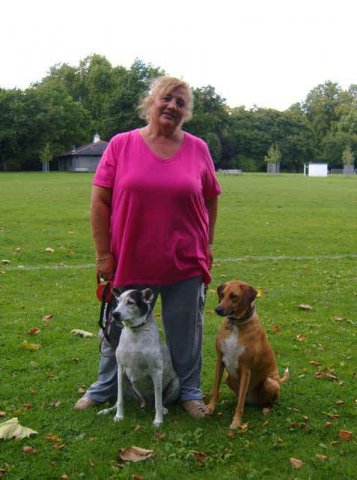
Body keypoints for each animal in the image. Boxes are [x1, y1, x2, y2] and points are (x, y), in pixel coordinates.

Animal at [97, 288, 179, 428]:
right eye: (118, 301)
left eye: (131, 302)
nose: (114, 314)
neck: (135, 333)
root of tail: (144, 402)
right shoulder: (121, 369)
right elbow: (120, 400)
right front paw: (119, 416)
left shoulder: (156, 372)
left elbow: (158, 401)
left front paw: (158, 420)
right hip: (123, 382)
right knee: (119, 399)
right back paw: (108, 410)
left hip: (176, 383)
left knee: (161, 401)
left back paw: (163, 409)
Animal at [204, 280, 288, 430]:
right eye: (222, 294)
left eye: (234, 296)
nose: (217, 309)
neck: (236, 325)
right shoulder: (220, 361)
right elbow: (215, 389)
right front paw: (210, 407)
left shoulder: (246, 369)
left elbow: (240, 404)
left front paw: (236, 422)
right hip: (228, 377)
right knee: (242, 399)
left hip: (271, 382)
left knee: (267, 401)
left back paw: (266, 408)